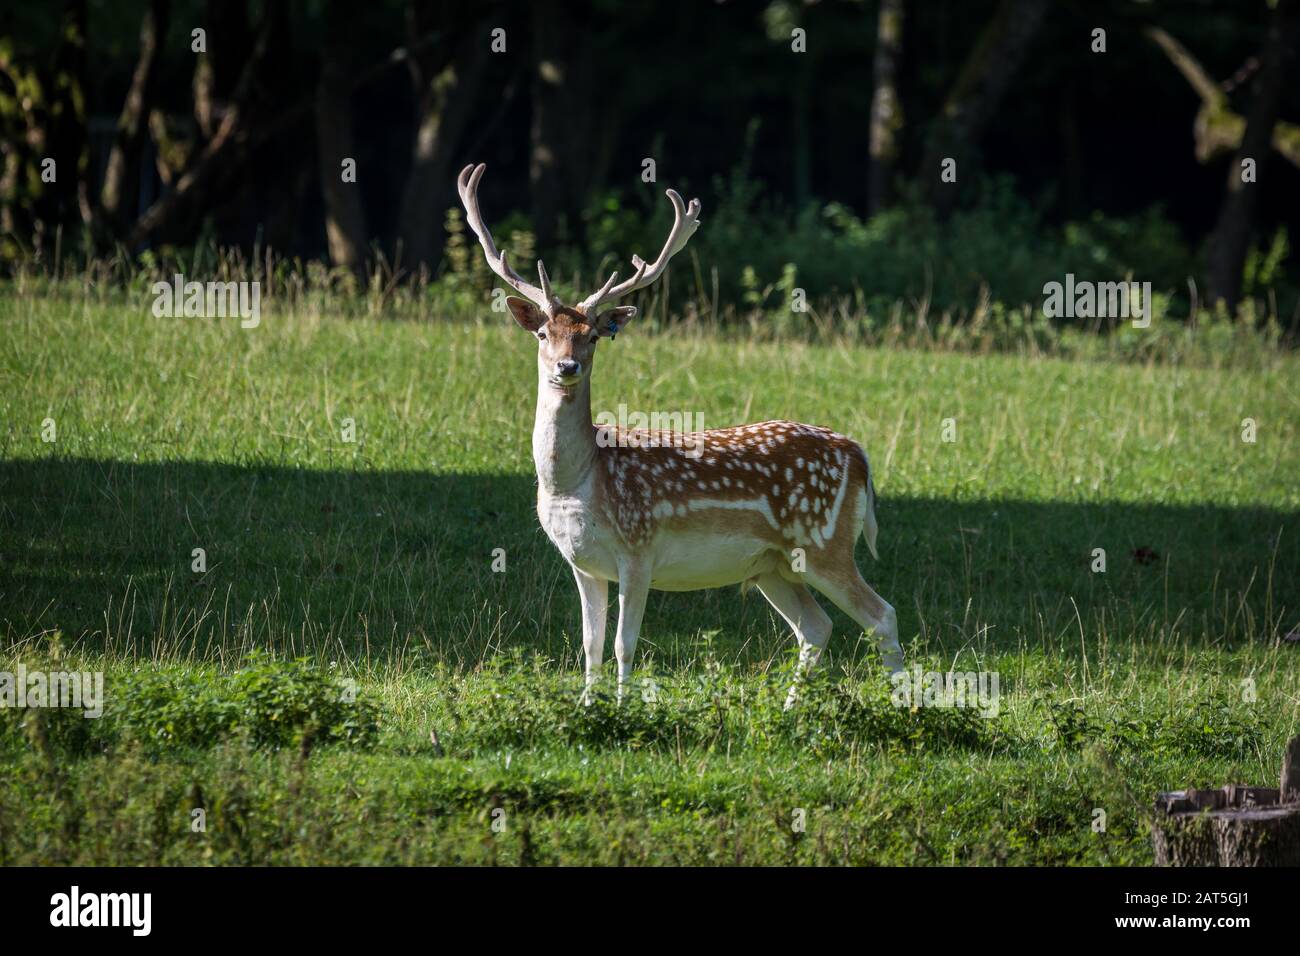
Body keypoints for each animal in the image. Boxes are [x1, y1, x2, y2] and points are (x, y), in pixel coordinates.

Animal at [457, 162, 904, 712]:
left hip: (824, 541)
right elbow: (589, 645)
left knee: (881, 615)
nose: (567, 367)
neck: (576, 482)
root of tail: (858, 453)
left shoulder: (638, 547)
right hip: (773, 566)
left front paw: (622, 712)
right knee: (816, 627)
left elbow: (625, 643)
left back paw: (905, 707)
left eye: (593, 336)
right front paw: (587, 709)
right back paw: (789, 713)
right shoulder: (583, 563)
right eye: (544, 334)